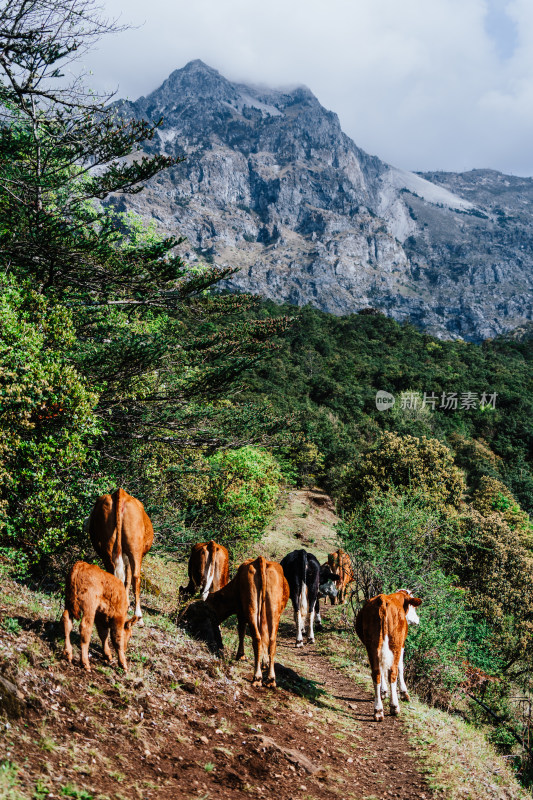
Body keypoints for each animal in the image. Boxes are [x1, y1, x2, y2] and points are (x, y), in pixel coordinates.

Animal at [87, 488, 153, 624]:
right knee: (136, 577)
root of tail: (120, 493)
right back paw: (138, 616)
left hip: (106, 546)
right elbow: (129, 578)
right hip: (135, 548)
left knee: (112, 574)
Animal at [205, 556, 286, 688]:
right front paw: (264, 662)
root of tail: (260, 559)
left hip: (252, 607)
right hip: (272, 611)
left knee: (258, 638)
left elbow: (241, 631)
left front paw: (241, 655)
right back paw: (269, 679)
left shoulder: (240, 612)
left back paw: (258, 677)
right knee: (270, 640)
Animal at [356, 588, 422, 720]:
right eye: (413, 607)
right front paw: (404, 693)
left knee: (376, 672)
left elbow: (382, 668)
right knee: (393, 671)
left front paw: (383, 691)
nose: (417, 620)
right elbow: (401, 667)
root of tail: (383, 600)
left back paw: (378, 710)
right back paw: (394, 706)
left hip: (372, 645)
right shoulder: (402, 645)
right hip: (395, 643)